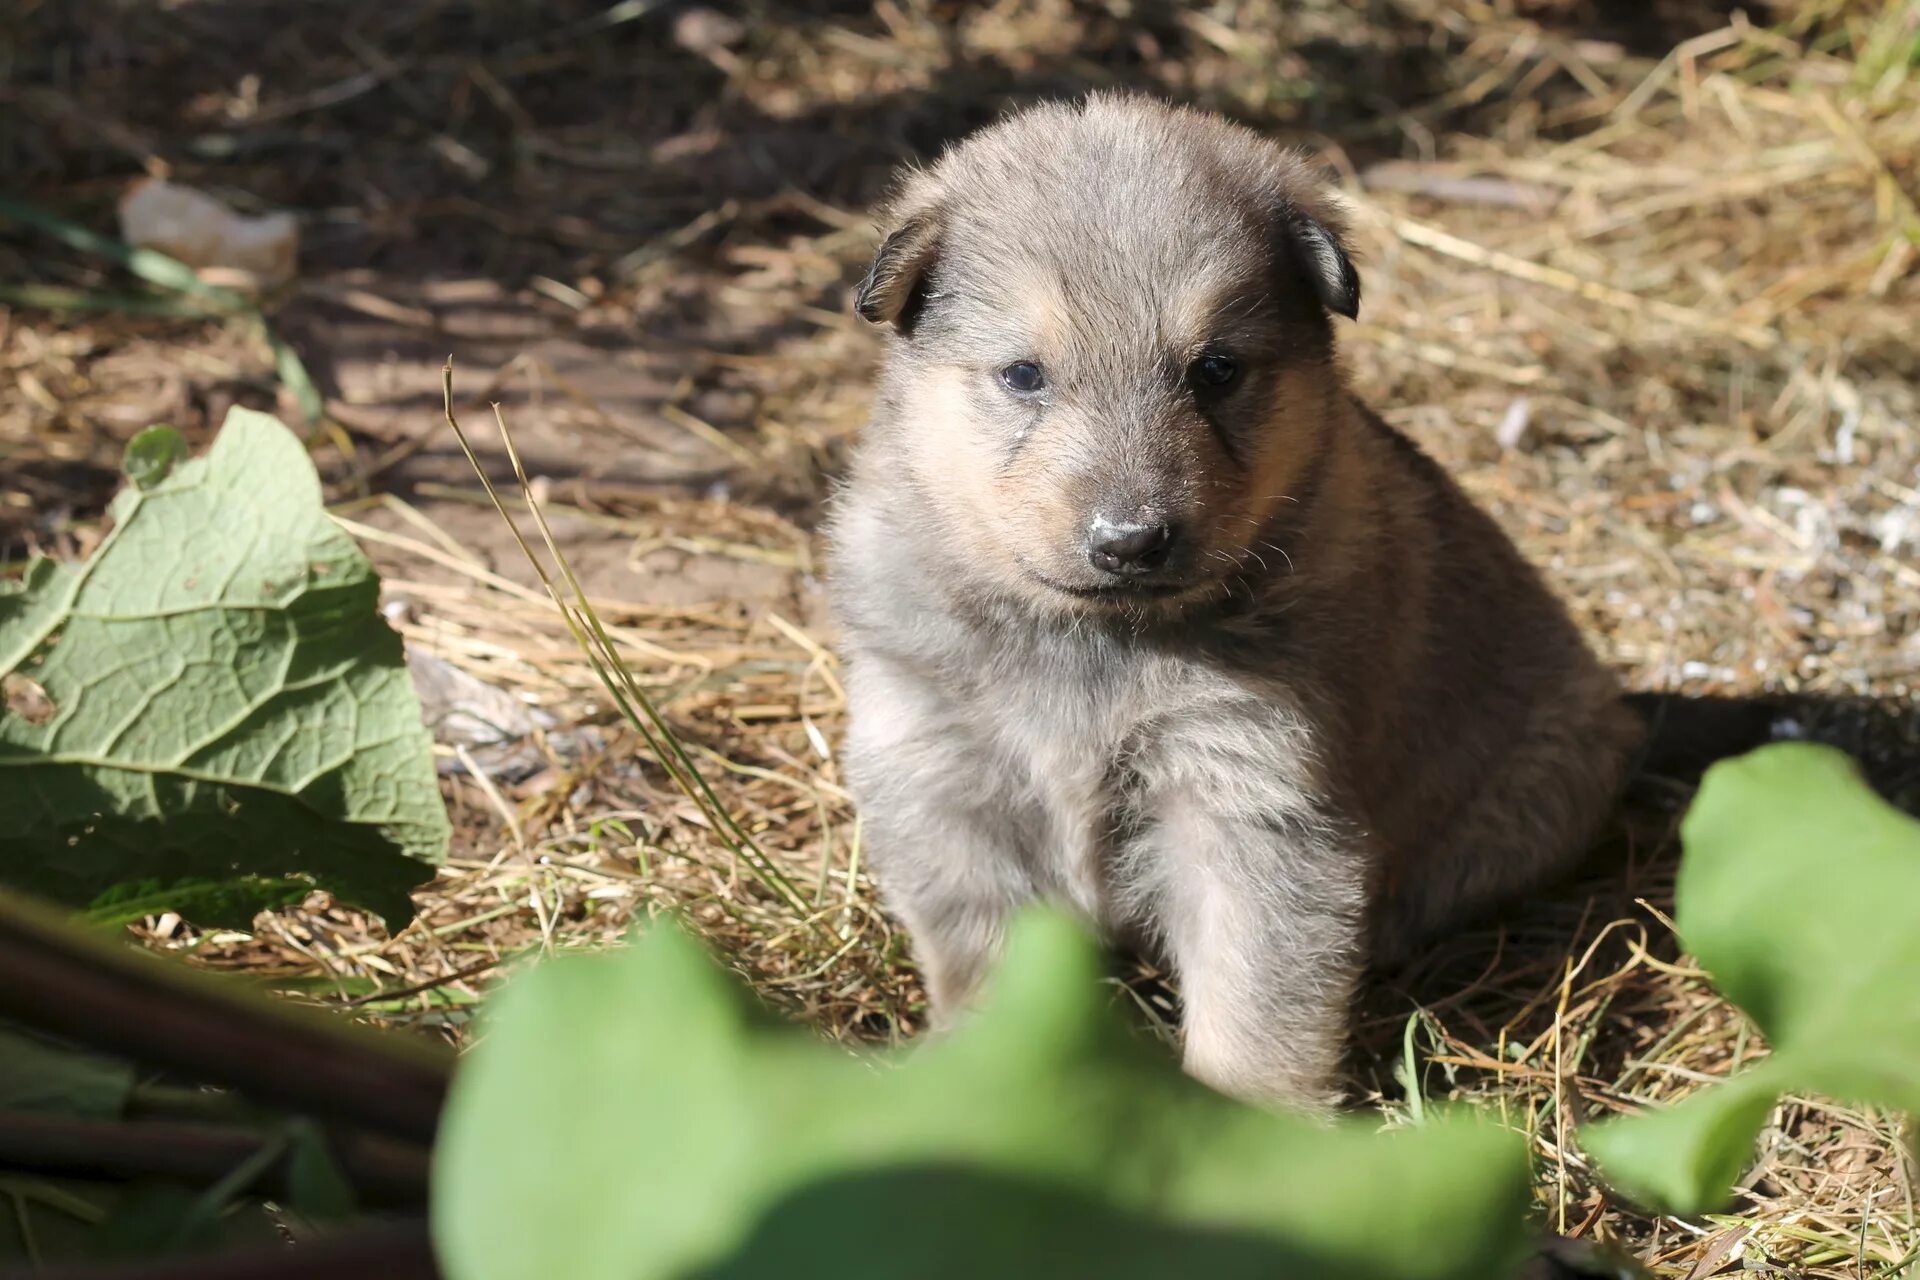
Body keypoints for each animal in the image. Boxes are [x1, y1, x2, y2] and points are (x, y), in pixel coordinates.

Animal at [817, 94, 1643, 1105]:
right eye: (1023, 375)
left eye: (1215, 369)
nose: (1130, 541)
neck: (1097, 639)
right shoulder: (942, 777)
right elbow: (980, 964)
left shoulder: (1248, 804)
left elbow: (1253, 1015)